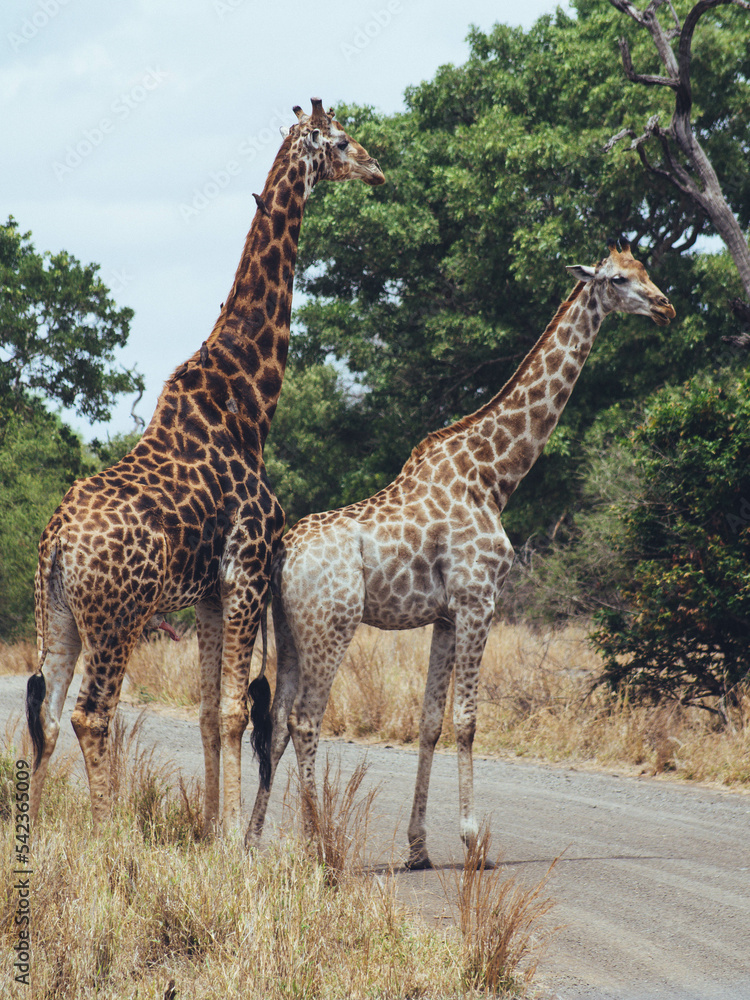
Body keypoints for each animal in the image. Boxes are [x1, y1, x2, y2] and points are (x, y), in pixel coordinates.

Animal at [26, 99, 384, 837]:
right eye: (340, 142)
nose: (379, 170)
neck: (249, 402)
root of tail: (56, 545)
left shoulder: (213, 592)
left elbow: (205, 712)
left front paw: (212, 829)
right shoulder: (247, 571)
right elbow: (234, 708)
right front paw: (227, 840)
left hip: (59, 613)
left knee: (47, 710)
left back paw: (36, 832)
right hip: (119, 616)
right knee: (92, 713)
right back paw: (108, 833)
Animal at [246, 241, 675, 865]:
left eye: (646, 271)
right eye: (619, 279)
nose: (666, 308)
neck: (494, 476)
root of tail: (281, 556)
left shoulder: (446, 616)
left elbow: (429, 722)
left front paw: (419, 848)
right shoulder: (479, 600)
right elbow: (468, 720)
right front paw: (474, 841)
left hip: (289, 625)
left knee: (277, 722)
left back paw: (252, 841)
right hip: (332, 623)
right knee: (305, 719)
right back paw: (320, 843)